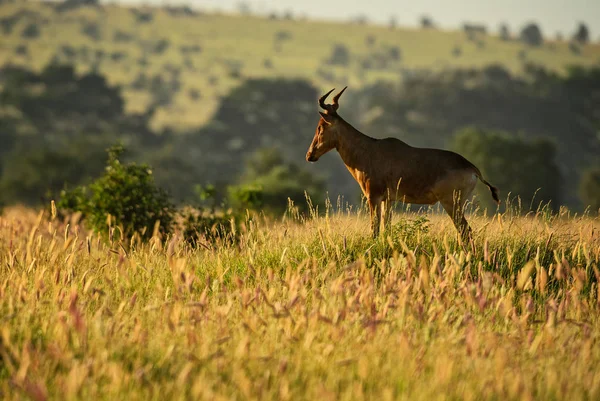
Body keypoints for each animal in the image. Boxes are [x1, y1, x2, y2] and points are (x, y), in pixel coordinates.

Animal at [308, 87, 500, 241]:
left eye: (320, 127)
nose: (310, 155)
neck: (369, 150)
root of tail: (472, 168)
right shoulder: (388, 200)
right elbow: (386, 228)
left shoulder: (373, 197)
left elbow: (374, 230)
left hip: (451, 203)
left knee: (465, 230)